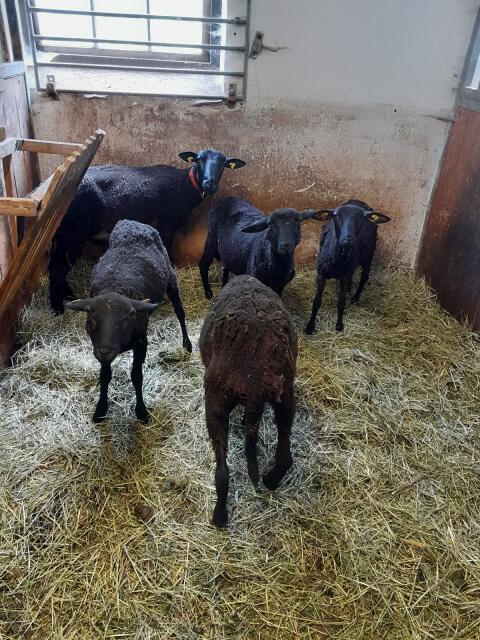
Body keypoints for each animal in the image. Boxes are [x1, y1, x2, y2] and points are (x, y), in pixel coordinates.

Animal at [49, 149, 245, 314]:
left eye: (222, 164)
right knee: (57, 269)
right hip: (72, 234)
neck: (184, 185)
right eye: (199, 159)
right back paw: (57, 309)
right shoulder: (166, 226)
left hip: (61, 234)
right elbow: (167, 254)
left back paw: (69, 297)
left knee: (55, 266)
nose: (209, 184)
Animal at [66, 219, 192, 423]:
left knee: (180, 313)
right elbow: (105, 376)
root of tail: (133, 223)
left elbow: (136, 376)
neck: (115, 287)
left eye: (127, 317)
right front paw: (101, 409)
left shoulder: (141, 343)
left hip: (171, 279)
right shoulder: (100, 346)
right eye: (92, 318)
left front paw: (141, 411)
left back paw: (187, 344)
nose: (105, 350)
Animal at [199, 275, 298, 527]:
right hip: (286, 393)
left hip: (215, 400)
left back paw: (219, 516)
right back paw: (271, 479)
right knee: (285, 455)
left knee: (222, 471)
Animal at [305, 199, 391, 333]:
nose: (347, 239)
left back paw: (356, 297)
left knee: (364, 276)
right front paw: (310, 326)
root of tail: (358, 201)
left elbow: (341, 302)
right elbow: (317, 301)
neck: (337, 261)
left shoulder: (344, 276)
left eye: (362, 218)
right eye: (335, 216)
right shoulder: (321, 273)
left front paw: (339, 326)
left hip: (369, 255)